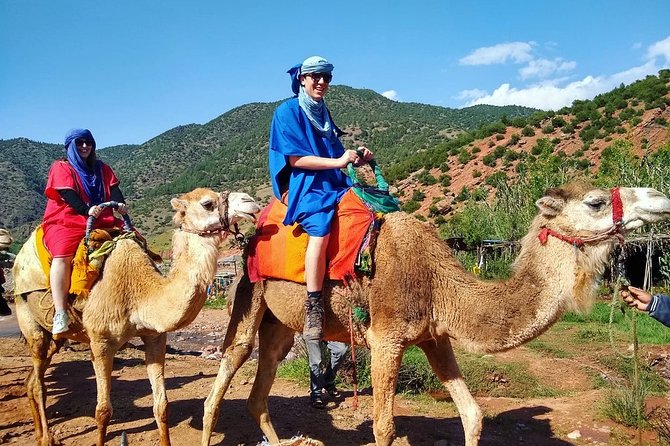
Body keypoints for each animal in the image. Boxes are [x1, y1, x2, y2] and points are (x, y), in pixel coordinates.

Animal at [12, 187, 261, 446]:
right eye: (207, 203)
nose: (250, 202)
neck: (138, 292)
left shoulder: (155, 336)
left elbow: (162, 406)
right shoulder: (100, 342)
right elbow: (102, 411)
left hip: (54, 338)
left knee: (33, 380)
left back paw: (40, 434)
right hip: (26, 313)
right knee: (39, 382)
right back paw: (46, 438)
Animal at [200, 183, 670, 446]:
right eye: (595, 202)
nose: (659, 197)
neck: (440, 282)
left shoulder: (434, 337)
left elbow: (473, 415)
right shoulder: (385, 338)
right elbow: (384, 427)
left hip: (279, 324)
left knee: (261, 384)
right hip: (247, 294)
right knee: (224, 374)